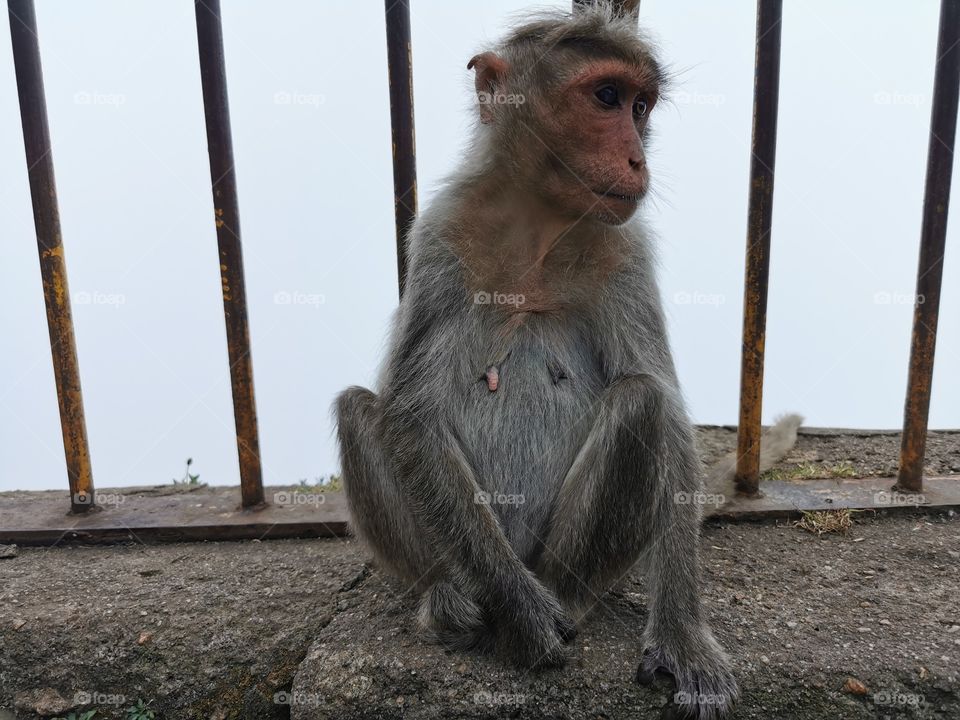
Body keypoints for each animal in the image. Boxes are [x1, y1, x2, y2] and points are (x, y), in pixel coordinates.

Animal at [335, 4, 801, 718]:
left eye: (641, 106)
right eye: (607, 97)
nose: (637, 156)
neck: (538, 225)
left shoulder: (625, 251)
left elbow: (667, 413)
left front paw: (683, 634)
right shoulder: (440, 234)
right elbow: (411, 416)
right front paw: (521, 612)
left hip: (563, 555)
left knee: (641, 400)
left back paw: (568, 598)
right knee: (363, 409)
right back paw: (452, 598)